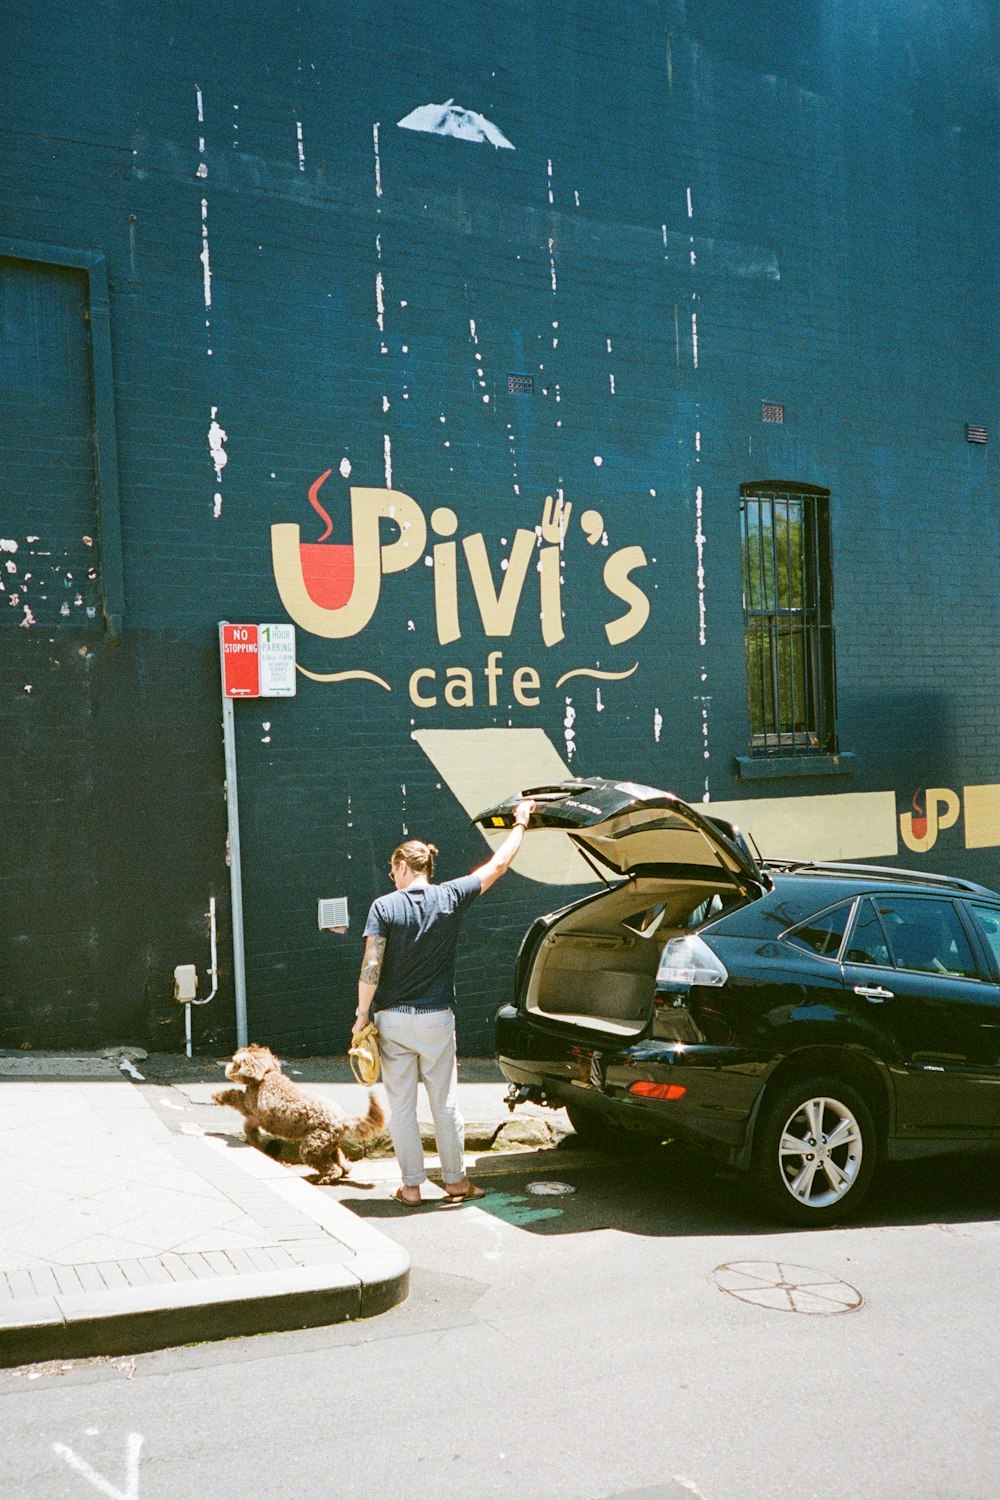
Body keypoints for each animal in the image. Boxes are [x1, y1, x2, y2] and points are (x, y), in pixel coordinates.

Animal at [212, 1044, 386, 1182]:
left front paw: (218, 1096)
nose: (227, 1067)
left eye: (235, 1062)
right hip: (330, 1144)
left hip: (312, 1145)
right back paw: (342, 1170)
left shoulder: (254, 1112)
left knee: (330, 1167)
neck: (266, 1075)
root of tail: (344, 1120)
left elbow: (237, 1101)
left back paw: (321, 1178)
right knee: (341, 1162)